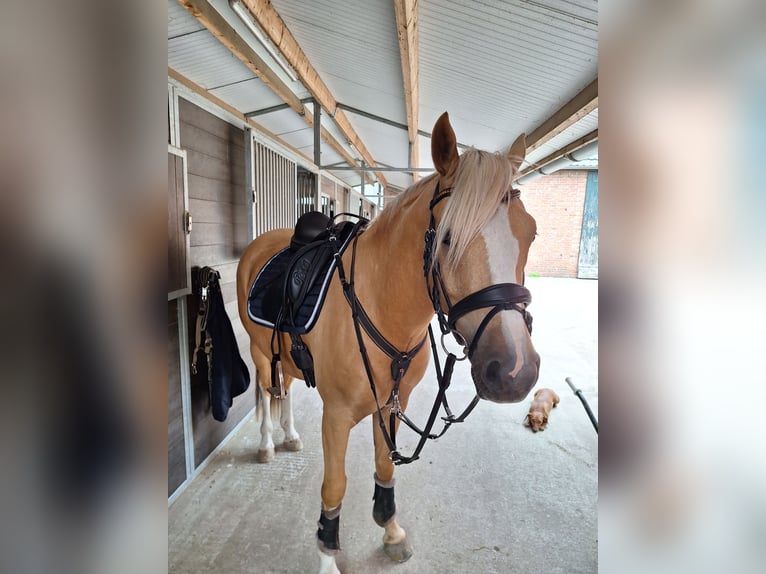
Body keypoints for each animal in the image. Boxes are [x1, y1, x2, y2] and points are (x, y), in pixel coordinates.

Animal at [236, 112, 540, 574]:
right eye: (447, 237)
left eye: (531, 234)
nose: (515, 371)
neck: (379, 304)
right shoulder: (336, 415)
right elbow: (335, 486)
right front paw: (327, 556)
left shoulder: (394, 404)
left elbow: (384, 467)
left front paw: (391, 530)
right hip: (259, 354)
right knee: (268, 390)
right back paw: (269, 443)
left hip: (284, 356)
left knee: (284, 389)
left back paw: (289, 436)